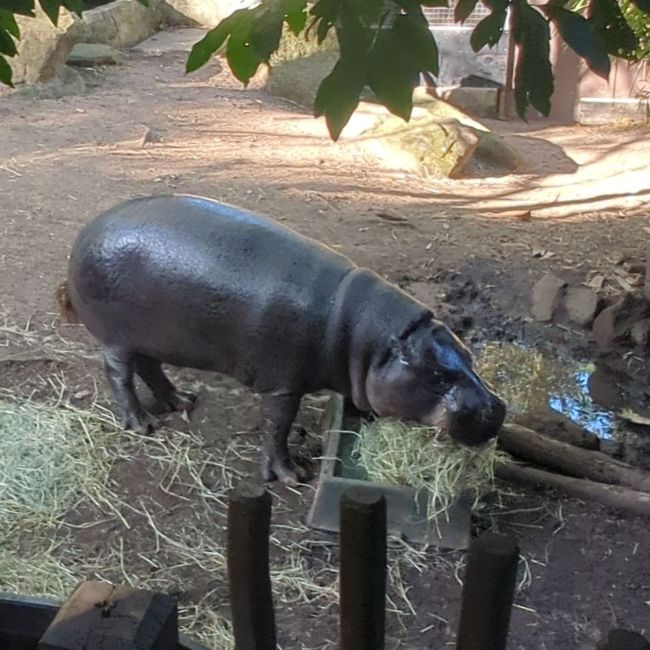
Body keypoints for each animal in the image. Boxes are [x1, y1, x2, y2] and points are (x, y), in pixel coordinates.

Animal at [58, 195, 506, 484]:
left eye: (468, 357)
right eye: (438, 376)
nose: (499, 409)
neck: (366, 337)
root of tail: (84, 233)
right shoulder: (282, 384)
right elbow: (276, 426)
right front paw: (291, 475)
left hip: (149, 335)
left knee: (150, 366)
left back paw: (182, 401)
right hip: (116, 338)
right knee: (119, 374)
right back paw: (142, 424)